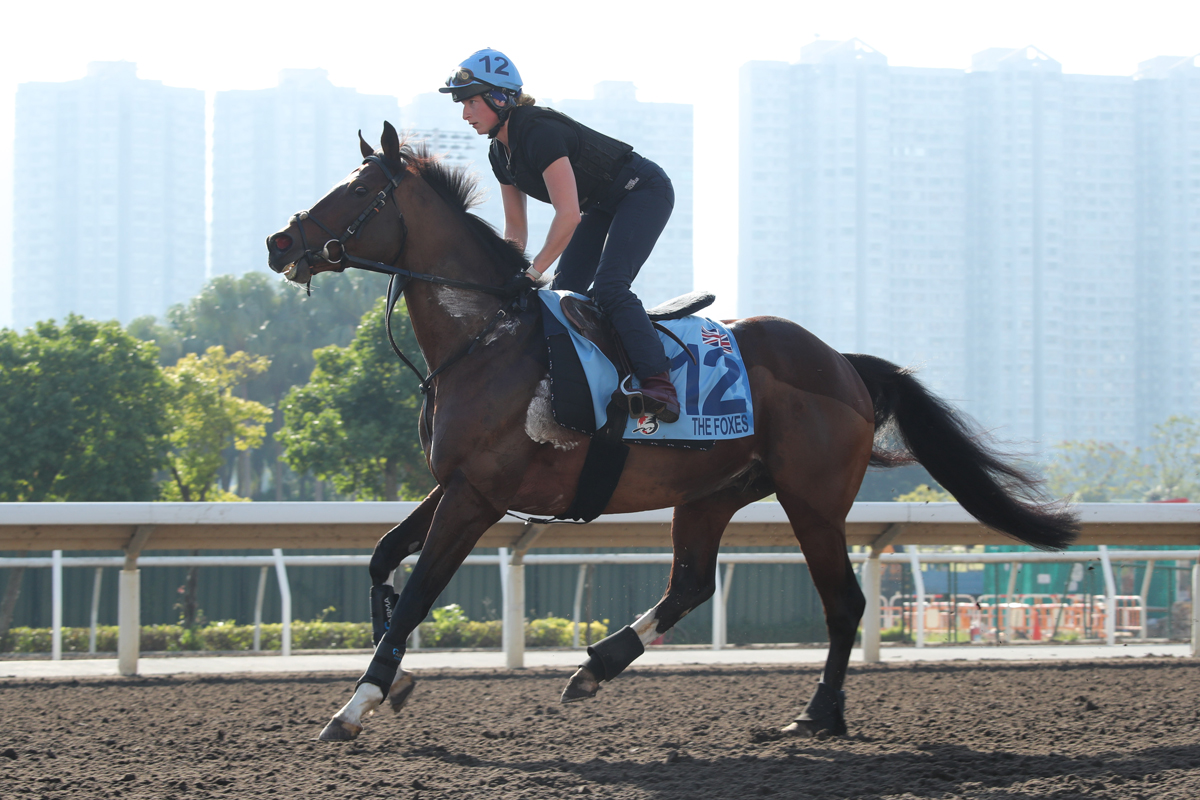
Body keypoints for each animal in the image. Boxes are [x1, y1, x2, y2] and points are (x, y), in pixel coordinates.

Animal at [265, 123, 1080, 743]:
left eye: (360, 192)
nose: (279, 241)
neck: (486, 338)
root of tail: (844, 364)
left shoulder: (480, 496)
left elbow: (415, 593)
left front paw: (355, 706)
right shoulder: (458, 483)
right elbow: (382, 558)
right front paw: (394, 681)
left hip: (812, 500)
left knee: (843, 603)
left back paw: (817, 715)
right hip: (714, 491)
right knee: (690, 581)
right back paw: (595, 667)